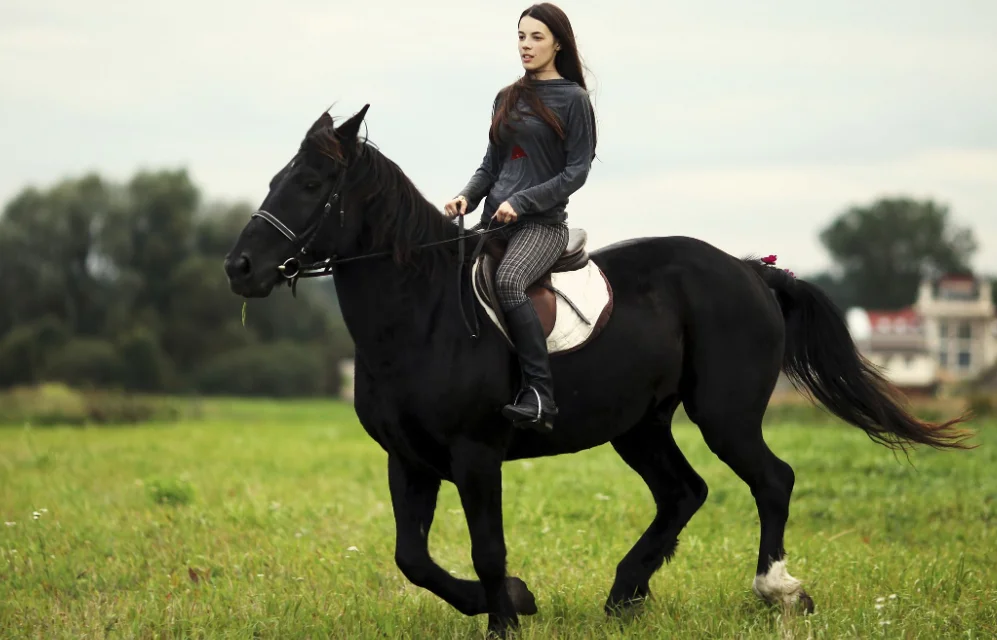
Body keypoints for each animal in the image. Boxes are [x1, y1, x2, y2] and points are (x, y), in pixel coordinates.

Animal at [223, 106, 972, 638]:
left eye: (311, 184)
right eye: (276, 180)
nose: (240, 268)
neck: (423, 312)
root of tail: (749, 273)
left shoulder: (474, 453)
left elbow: (486, 547)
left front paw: (505, 618)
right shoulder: (408, 458)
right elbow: (414, 558)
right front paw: (516, 601)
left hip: (723, 414)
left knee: (771, 480)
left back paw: (777, 590)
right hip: (639, 425)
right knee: (683, 492)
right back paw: (625, 593)